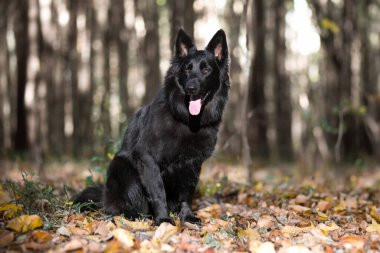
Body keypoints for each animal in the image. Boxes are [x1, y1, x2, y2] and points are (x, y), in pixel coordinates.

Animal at [73, 29, 229, 225]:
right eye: (187, 69)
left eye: (206, 70)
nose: (191, 88)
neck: (186, 120)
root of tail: (104, 197)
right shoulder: (147, 158)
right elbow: (158, 192)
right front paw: (163, 219)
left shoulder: (193, 164)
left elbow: (187, 194)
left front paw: (187, 216)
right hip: (123, 169)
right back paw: (132, 215)